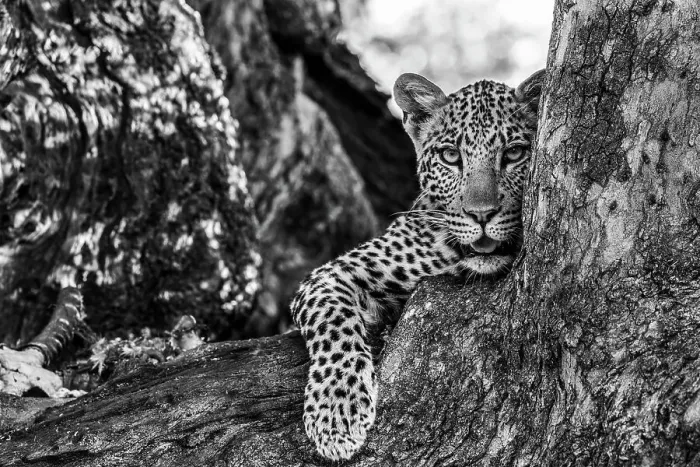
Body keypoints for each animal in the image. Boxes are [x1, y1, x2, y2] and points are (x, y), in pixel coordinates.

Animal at [290, 69, 545, 461]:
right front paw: (336, 412)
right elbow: (333, 323)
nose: (481, 214)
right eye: (451, 156)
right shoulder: (331, 273)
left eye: (515, 153)